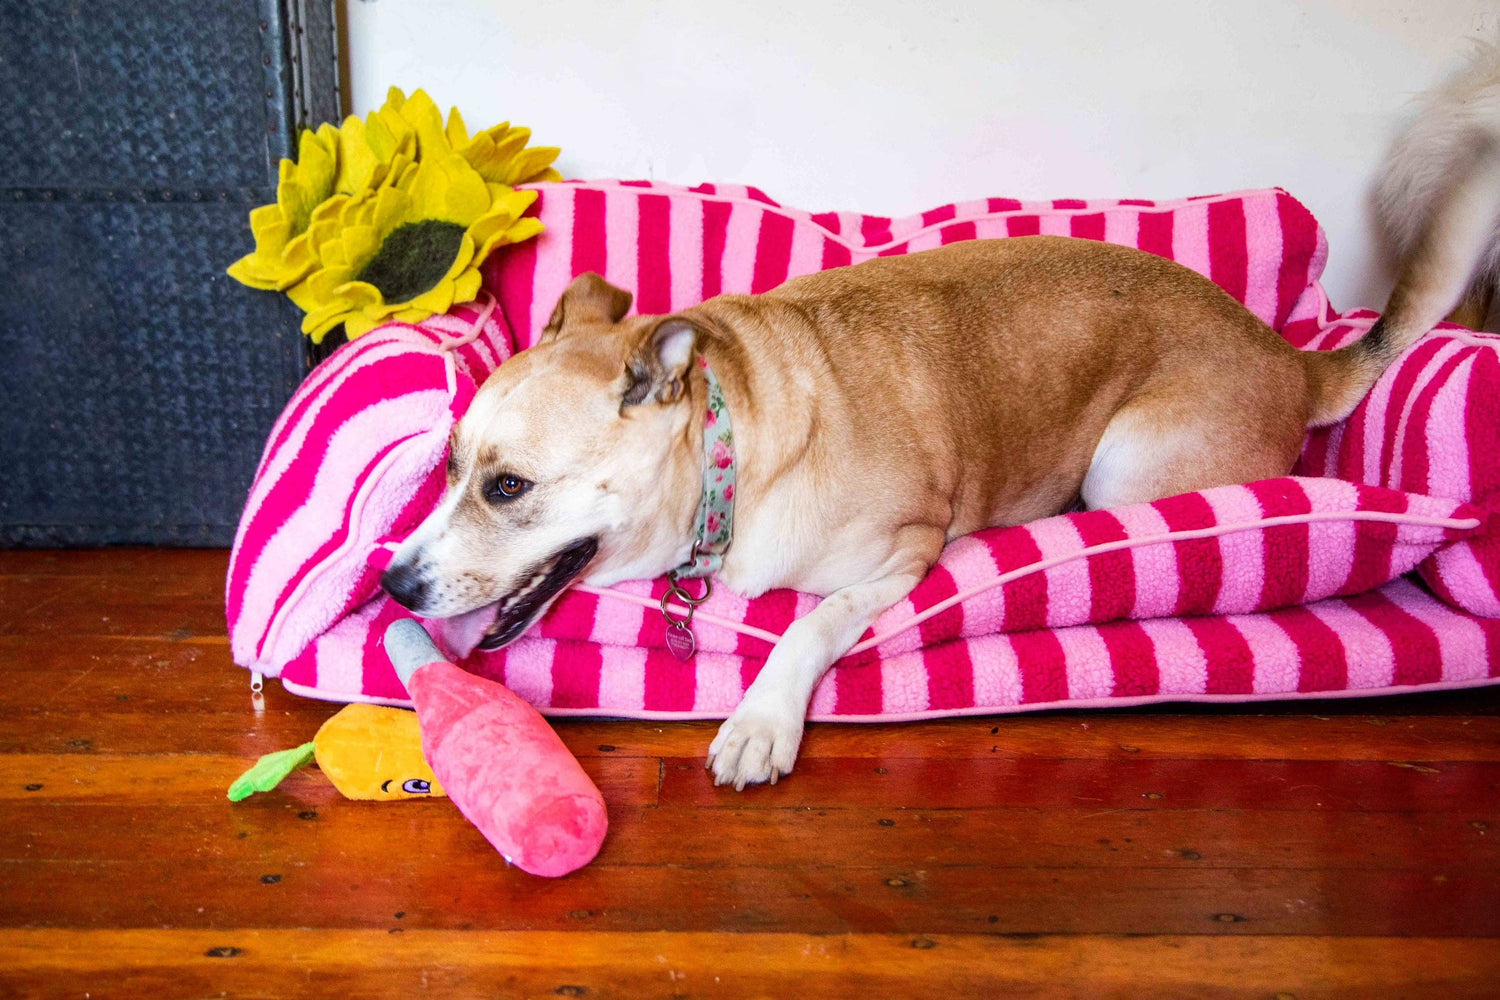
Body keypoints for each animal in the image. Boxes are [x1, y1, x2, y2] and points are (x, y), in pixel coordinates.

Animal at [384, 56, 1500, 797]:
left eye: (508, 487)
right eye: (448, 466)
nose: (392, 584)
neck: (731, 452)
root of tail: (1290, 355)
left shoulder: (901, 555)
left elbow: (810, 622)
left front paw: (761, 720)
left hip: (1123, 468)